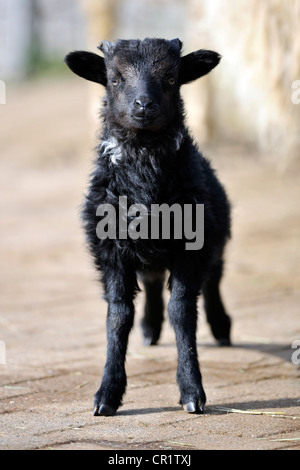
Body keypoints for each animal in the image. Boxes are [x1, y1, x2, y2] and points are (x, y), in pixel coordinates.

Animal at [64, 38, 231, 416]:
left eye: (171, 78)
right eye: (114, 78)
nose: (144, 105)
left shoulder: (190, 247)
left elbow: (182, 311)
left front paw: (192, 391)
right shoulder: (111, 251)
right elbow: (118, 314)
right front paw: (107, 395)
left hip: (215, 237)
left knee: (214, 279)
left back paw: (221, 327)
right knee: (153, 282)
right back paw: (150, 329)